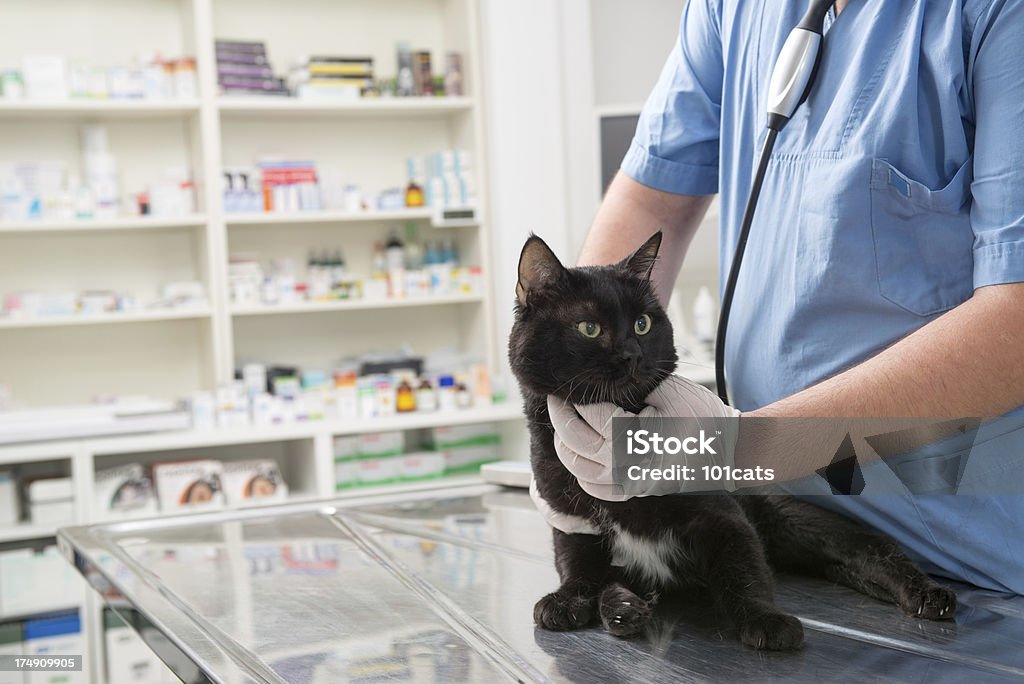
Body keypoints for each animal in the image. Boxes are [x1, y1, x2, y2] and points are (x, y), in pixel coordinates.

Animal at [507, 232, 954, 651]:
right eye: (589, 328)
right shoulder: (571, 521)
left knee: (869, 547)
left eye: (642, 324)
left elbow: (743, 570)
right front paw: (587, 602)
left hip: (792, 518)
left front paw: (766, 620)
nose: (633, 354)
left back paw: (928, 594)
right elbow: (578, 567)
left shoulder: (721, 517)